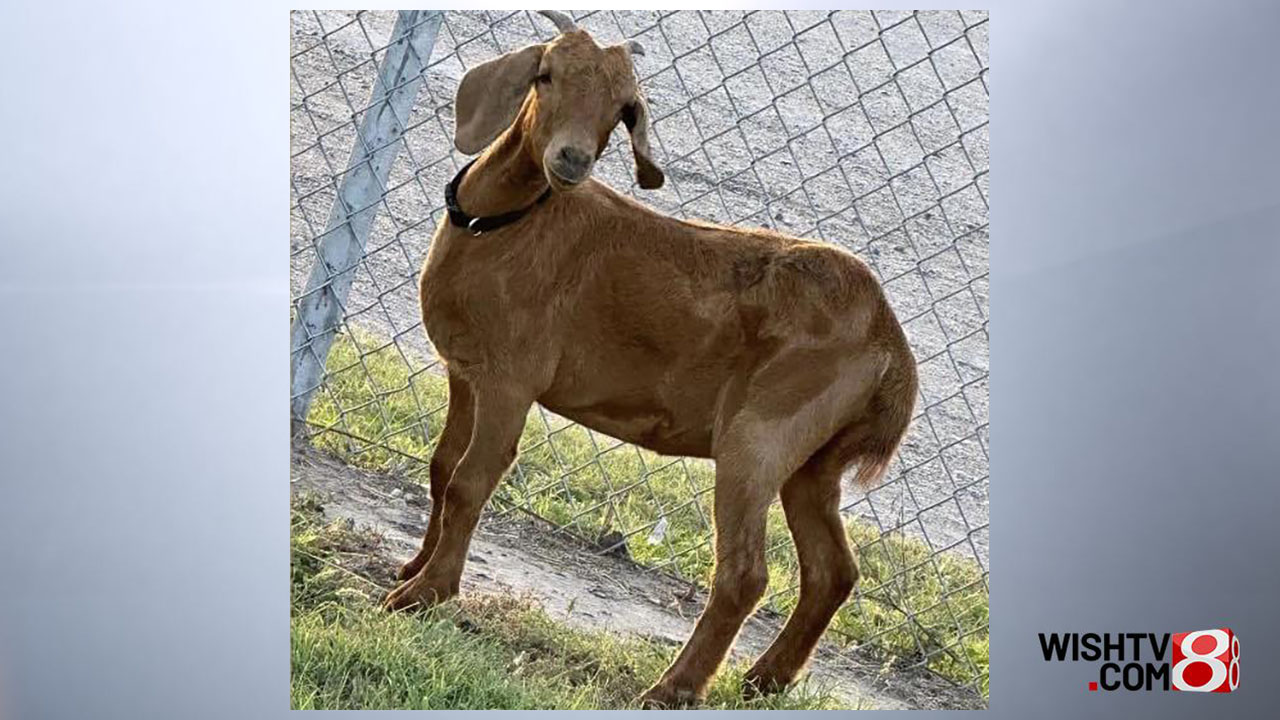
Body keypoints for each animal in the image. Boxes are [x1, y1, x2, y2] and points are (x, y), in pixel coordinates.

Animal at [383, 10, 918, 708]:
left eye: (623, 109)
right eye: (545, 74)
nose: (572, 160)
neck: (508, 223)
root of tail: (890, 343)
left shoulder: (510, 379)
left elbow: (473, 480)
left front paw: (424, 595)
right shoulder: (464, 373)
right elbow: (443, 468)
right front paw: (412, 567)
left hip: (760, 435)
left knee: (746, 573)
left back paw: (674, 689)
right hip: (814, 461)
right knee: (833, 570)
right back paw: (764, 681)